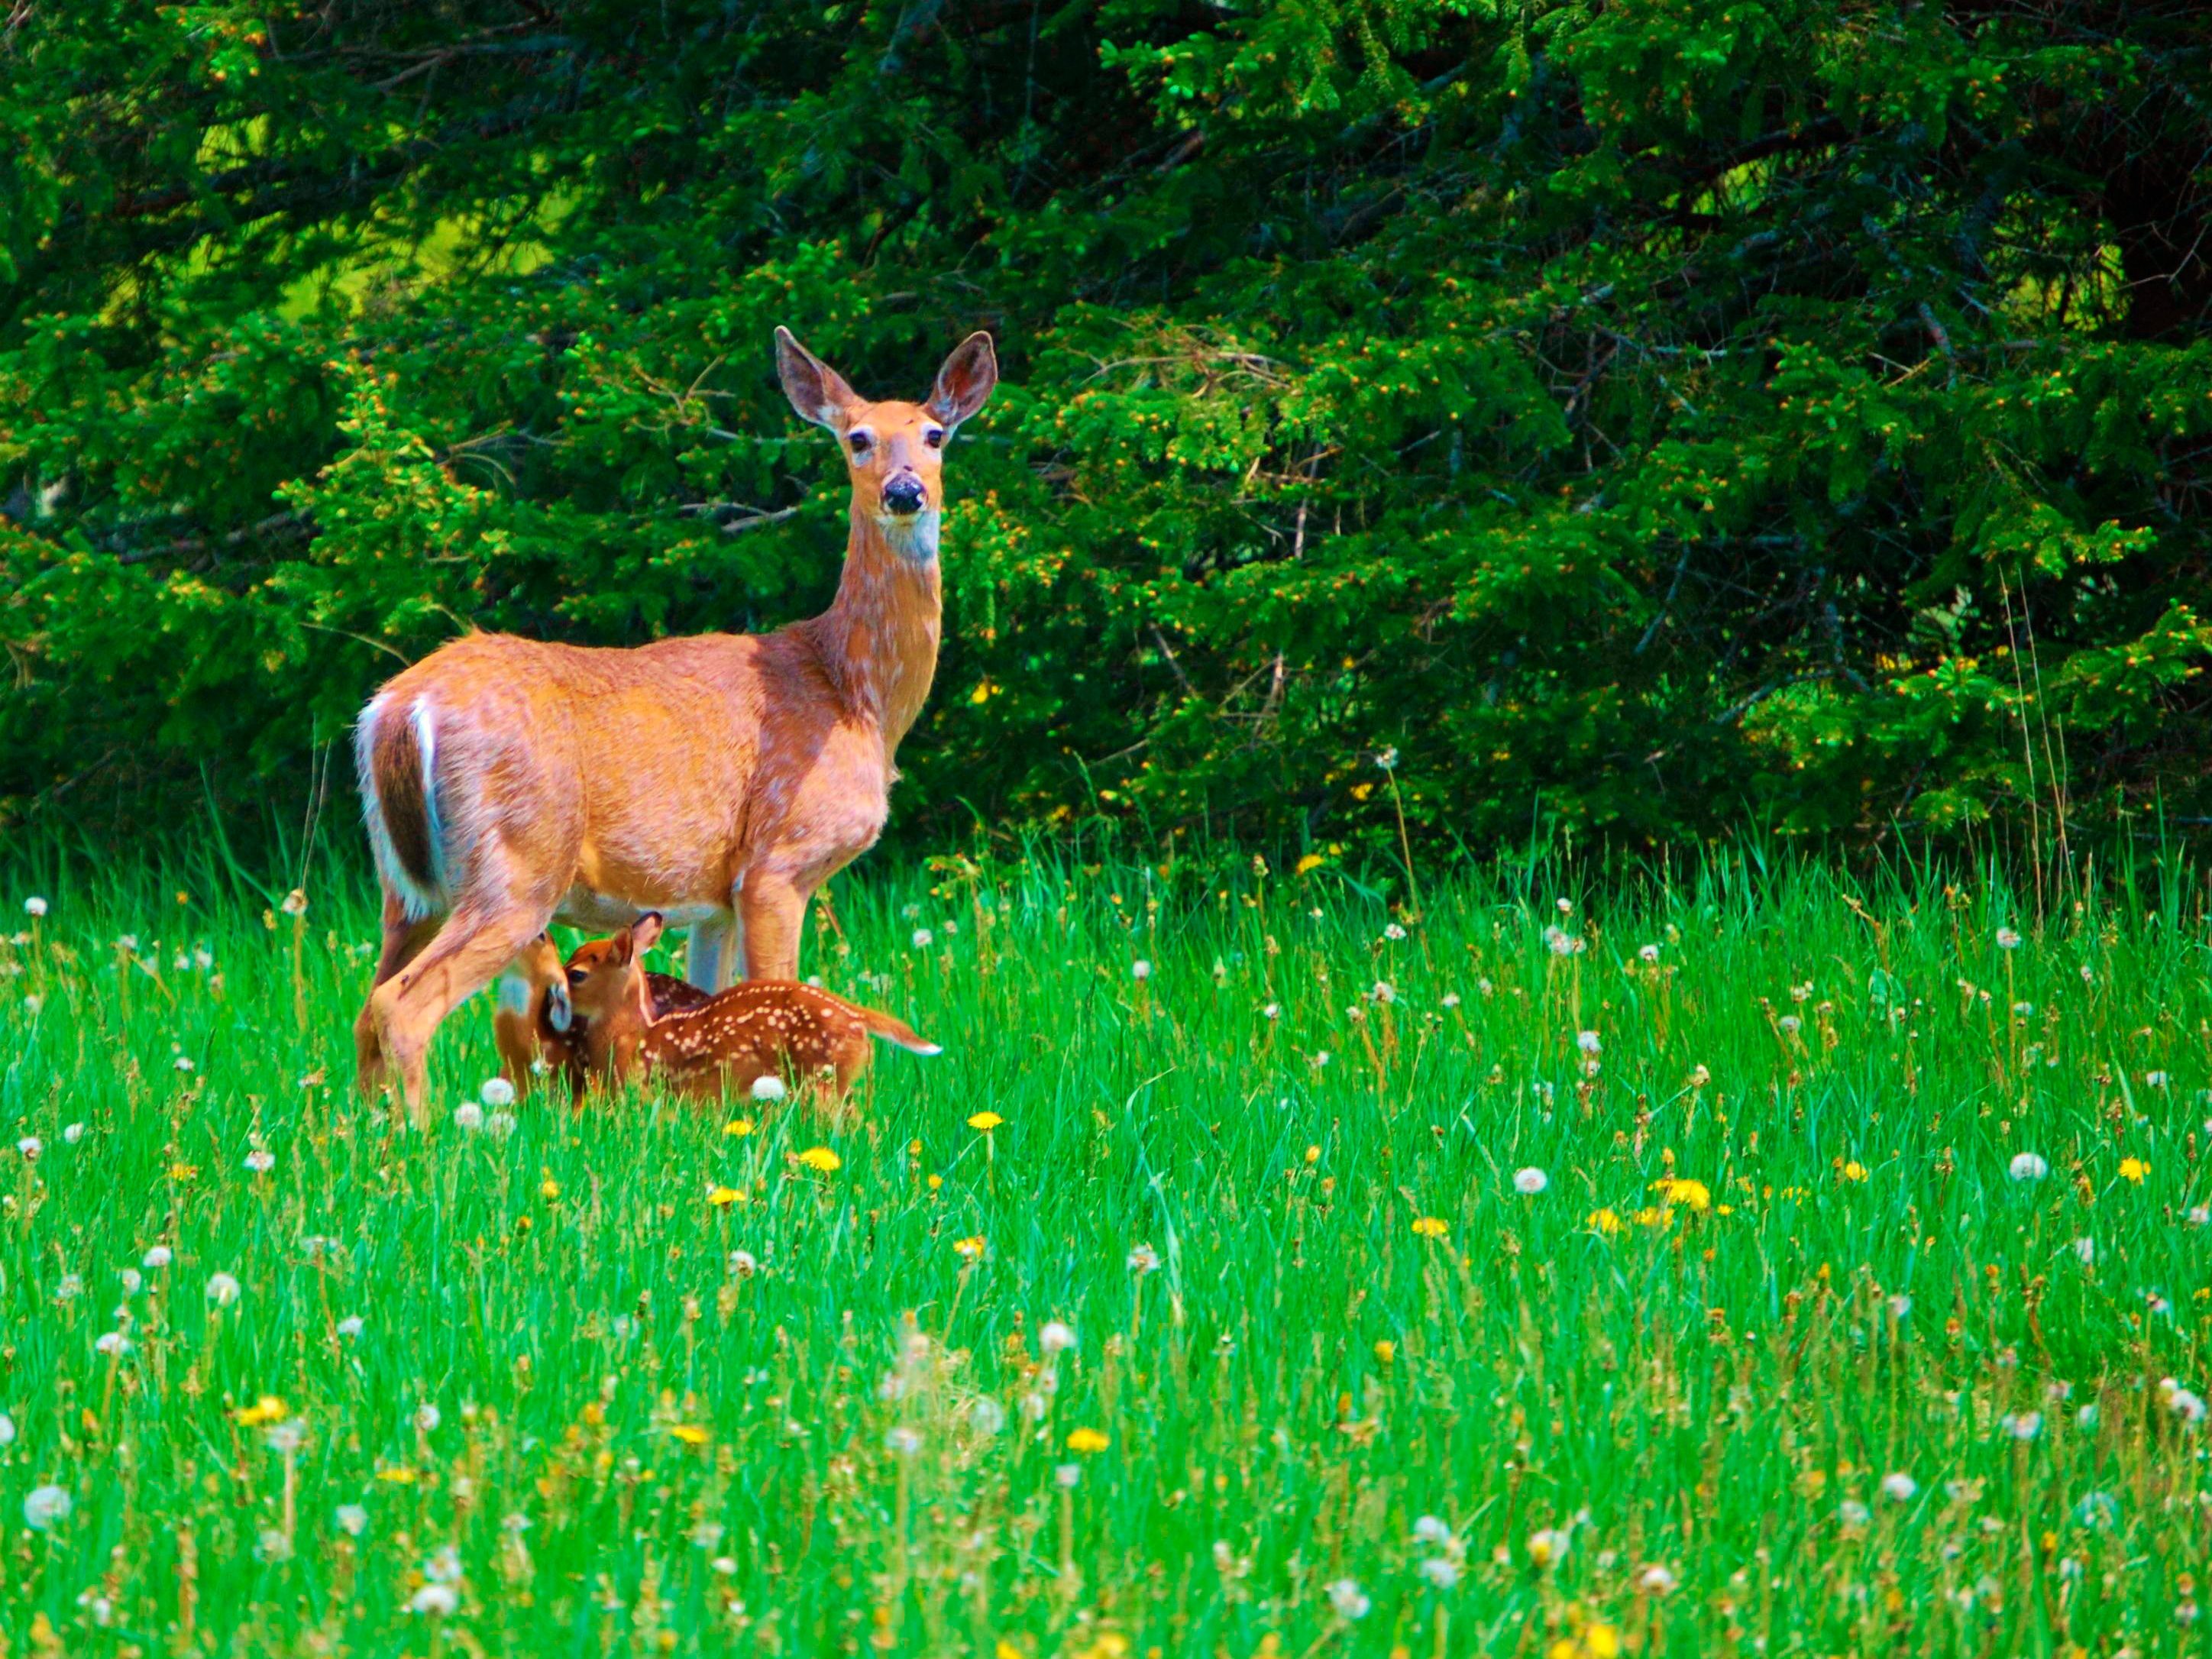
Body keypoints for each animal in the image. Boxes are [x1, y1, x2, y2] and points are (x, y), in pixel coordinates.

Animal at [351, 325, 995, 1124]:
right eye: (858, 439)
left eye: (936, 435)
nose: (905, 491)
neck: (857, 697)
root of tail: (398, 708)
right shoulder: (779, 861)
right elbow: (780, 985)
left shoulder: (711, 900)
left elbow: (717, 995)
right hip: (517, 860)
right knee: (403, 1006)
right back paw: (425, 1137)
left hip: (406, 887)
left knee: (367, 1007)